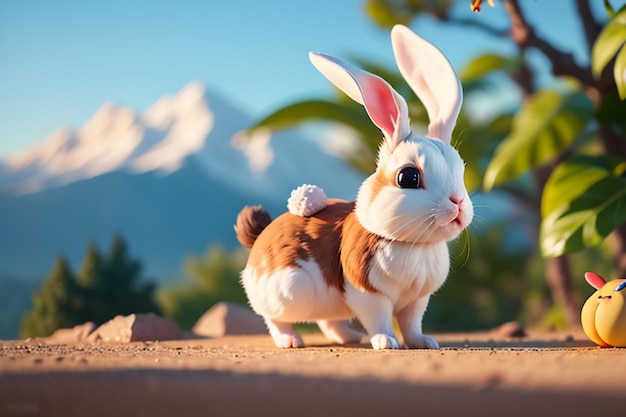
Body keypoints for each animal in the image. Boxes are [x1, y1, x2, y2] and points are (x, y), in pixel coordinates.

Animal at [235, 22, 472, 348]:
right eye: (408, 177)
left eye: (461, 170)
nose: (457, 204)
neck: (411, 244)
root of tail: (260, 238)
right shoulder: (367, 294)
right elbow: (380, 320)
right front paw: (386, 342)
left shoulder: (416, 301)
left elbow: (411, 324)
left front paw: (424, 342)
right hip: (288, 291)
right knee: (273, 317)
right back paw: (290, 340)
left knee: (329, 321)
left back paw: (351, 337)